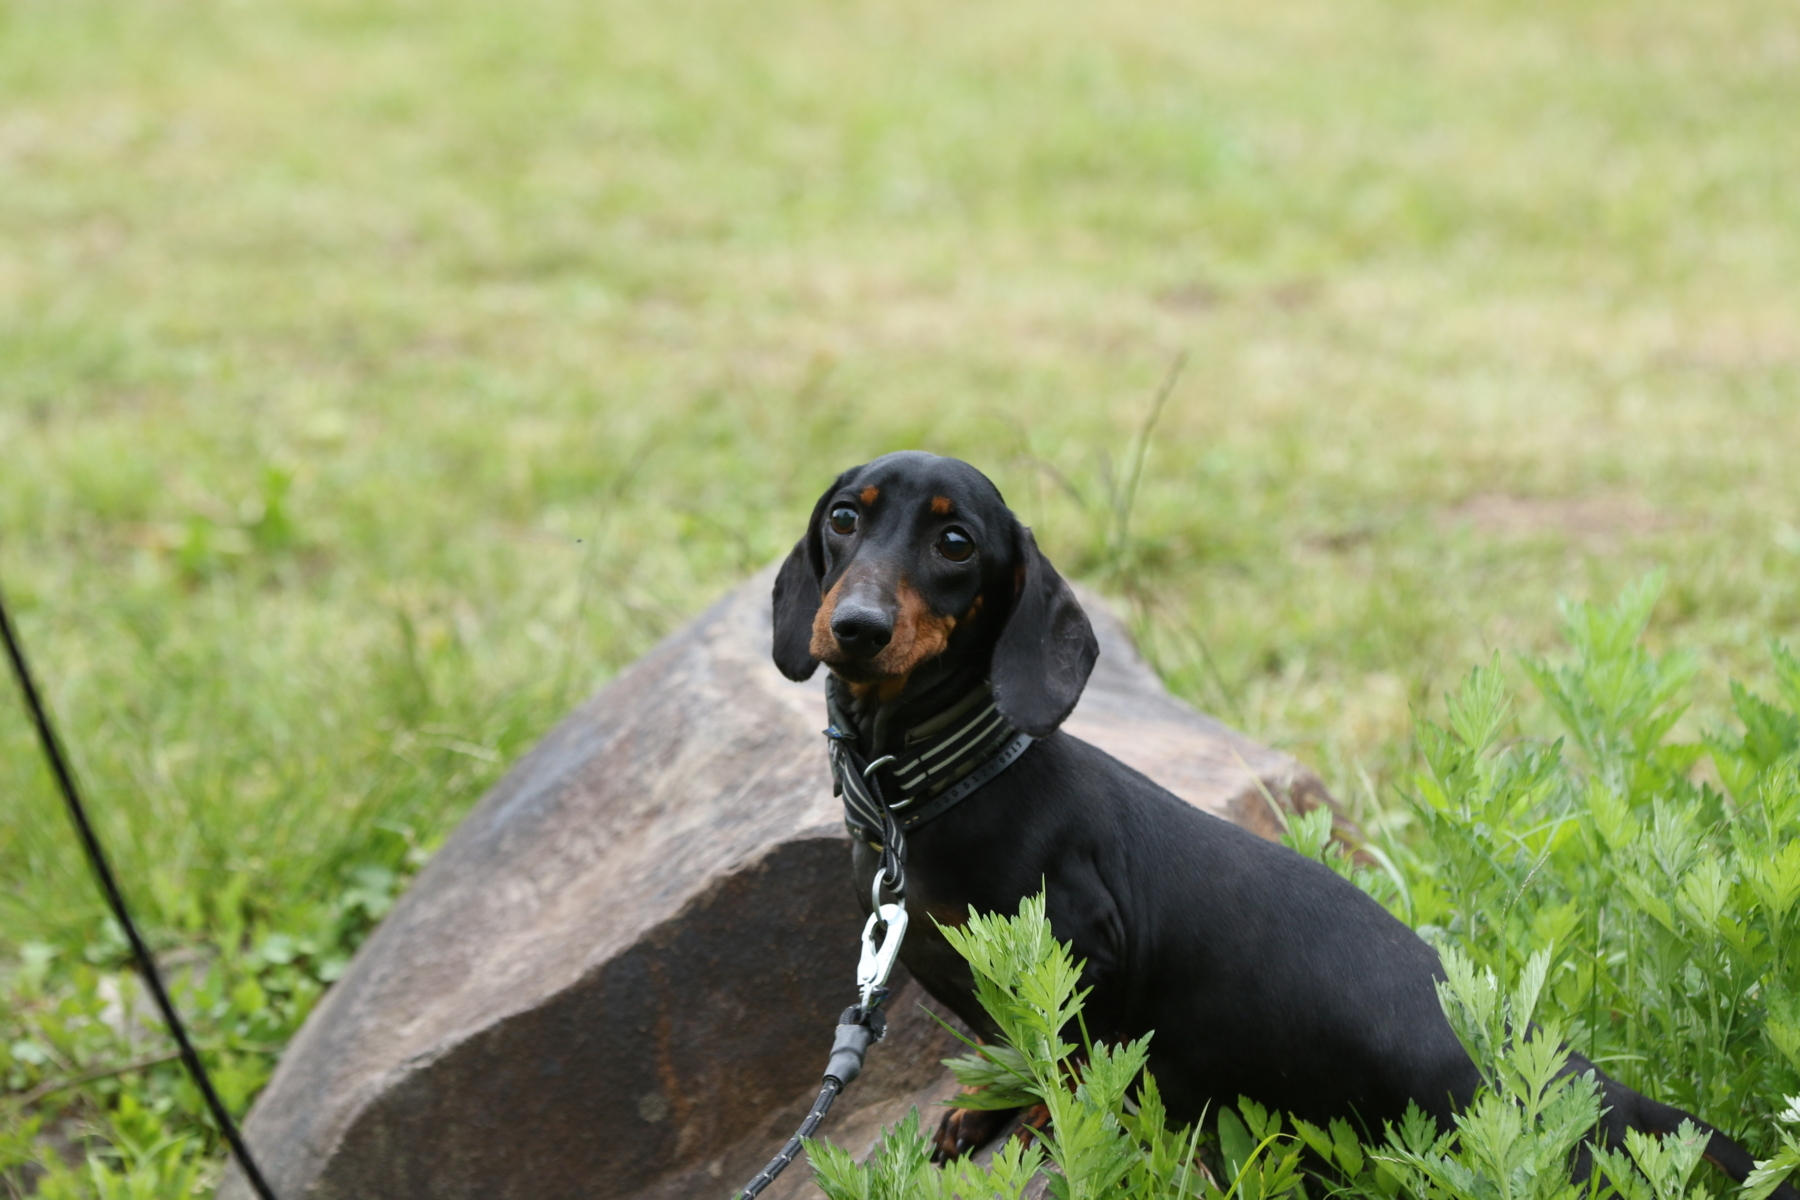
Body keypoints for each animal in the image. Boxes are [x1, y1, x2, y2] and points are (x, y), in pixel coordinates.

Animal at [766, 449, 1778, 1194]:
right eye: (844, 519)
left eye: (955, 541)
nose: (856, 628)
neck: (937, 786)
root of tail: (1583, 1076)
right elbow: (1009, 1045)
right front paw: (982, 1111)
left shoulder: (1082, 956)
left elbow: (1068, 1064)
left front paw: (1035, 1127)